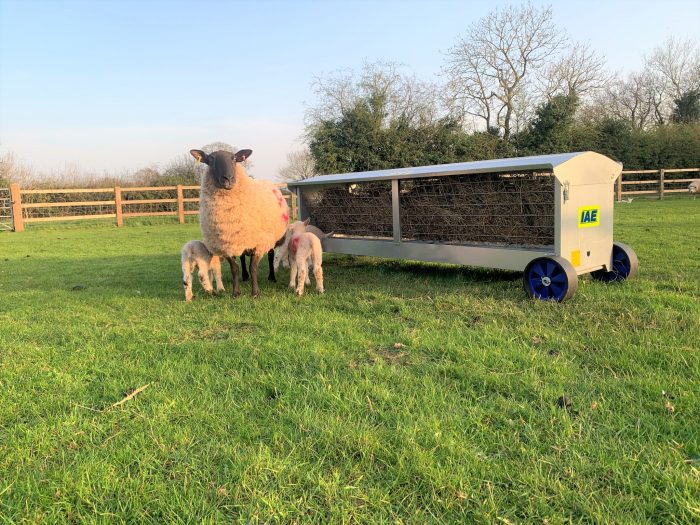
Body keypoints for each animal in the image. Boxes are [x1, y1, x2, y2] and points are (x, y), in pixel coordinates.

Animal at [190, 148, 289, 297]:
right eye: (211, 159)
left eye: (234, 158)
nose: (228, 178)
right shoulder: (226, 244)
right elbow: (234, 268)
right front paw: (236, 292)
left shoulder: (259, 243)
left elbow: (253, 267)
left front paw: (255, 293)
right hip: (240, 238)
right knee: (242, 257)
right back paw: (244, 276)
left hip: (269, 237)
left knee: (271, 255)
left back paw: (271, 277)